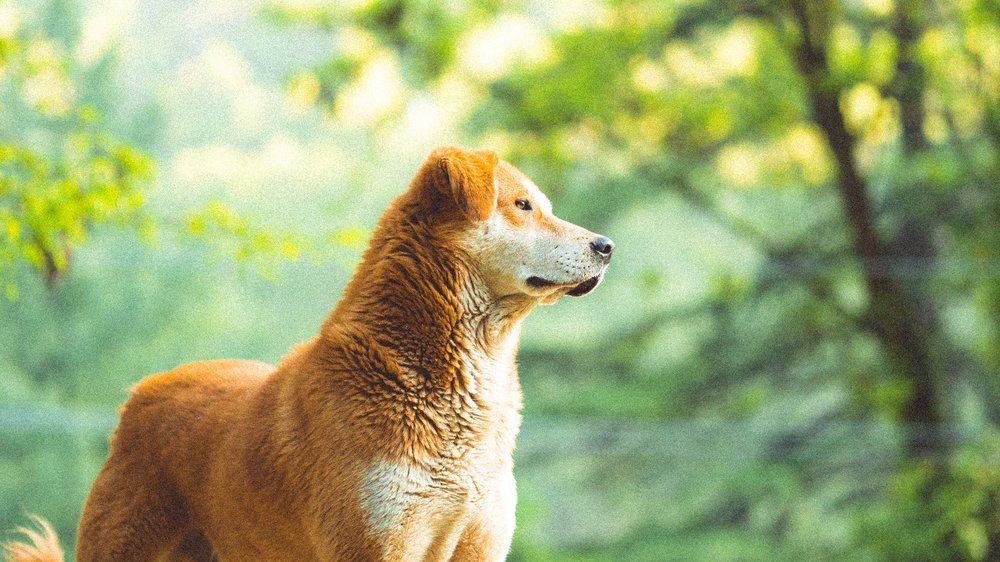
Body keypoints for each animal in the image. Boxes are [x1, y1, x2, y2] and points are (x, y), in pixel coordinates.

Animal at [0, 145, 612, 560]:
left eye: (541, 206)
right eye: (523, 206)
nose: (606, 246)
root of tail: (141, 394)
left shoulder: (478, 541)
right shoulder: (375, 543)